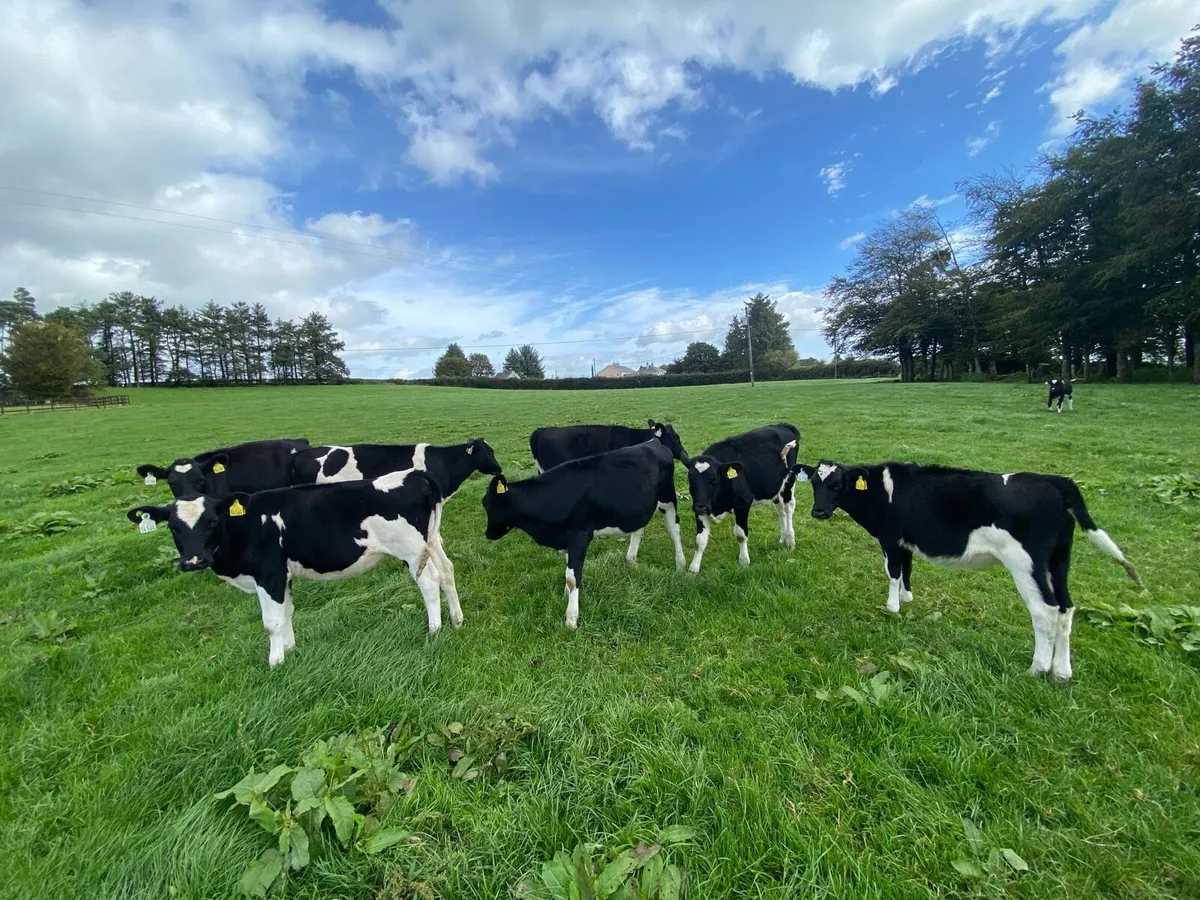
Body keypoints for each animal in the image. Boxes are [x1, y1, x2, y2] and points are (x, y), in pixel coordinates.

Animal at [126, 470, 460, 668]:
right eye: (173, 527)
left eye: (210, 521)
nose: (193, 561)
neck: (245, 525)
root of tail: (415, 474)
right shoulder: (282, 577)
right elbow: (287, 612)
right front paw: (289, 650)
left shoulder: (269, 574)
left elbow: (271, 622)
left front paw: (275, 662)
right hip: (431, 542)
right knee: (446, 572)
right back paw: (456, 620)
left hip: (411, 550)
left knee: (429, 582)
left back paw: (434, 628)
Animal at [481, 439, 686, 629]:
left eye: (487, 505)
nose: (488, 534)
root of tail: (654, 442)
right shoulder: (567, 539)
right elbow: (568, 571)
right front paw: (565, 595)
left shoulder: (579, 536)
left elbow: (572, 578)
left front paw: (571, 618)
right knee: (639, 528)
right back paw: (631, 559)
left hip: (668, 498)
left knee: (674, 528)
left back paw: (681, 564)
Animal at [684, 423, 801, 573]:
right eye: (691, 480)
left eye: (713, 479)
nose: (701, 506)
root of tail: (784, 425)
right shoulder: (701, 509)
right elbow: (700, 540)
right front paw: (693, 569)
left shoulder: (742, 505)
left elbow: (740, 535)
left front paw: (744, 561)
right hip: (775, 489)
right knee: (781, 511)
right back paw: (783, 539)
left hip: (789, 483)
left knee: (789, 510)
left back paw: (790, 541)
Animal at [795, 459, 1142, 682]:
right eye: (814, 483)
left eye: (837, 484)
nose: (819, 512)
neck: (882, 490)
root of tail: (1054, 480)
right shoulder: (906, 540)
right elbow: (907, 570)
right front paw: (907, 600)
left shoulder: (890, 538)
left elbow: (892, 571)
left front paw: (892, 607)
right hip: (1059, 561)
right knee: (1066, 609)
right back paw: (1061, 671)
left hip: (1026, 564)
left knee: (1045, 612)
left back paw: (1038, 668)